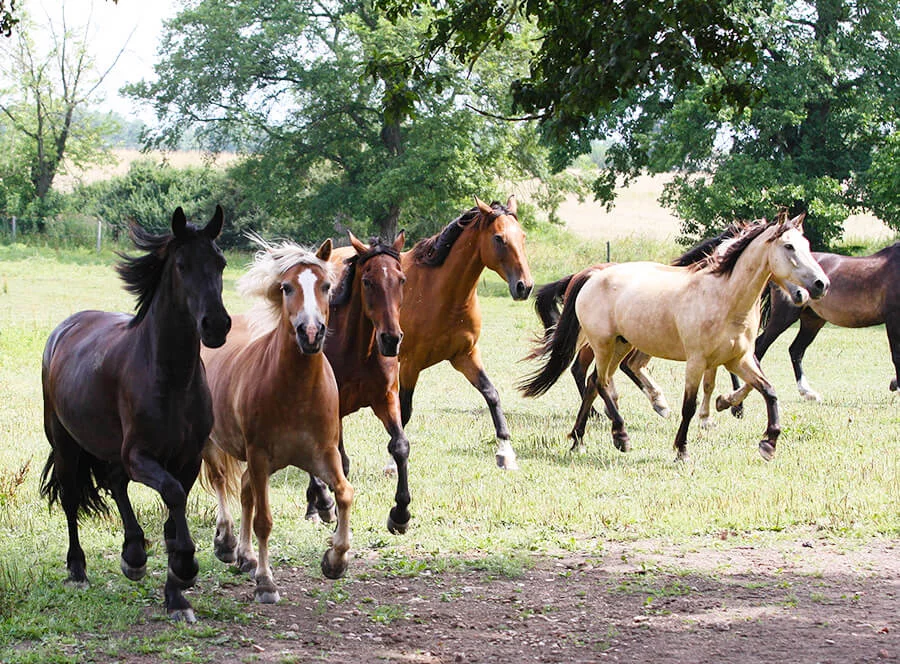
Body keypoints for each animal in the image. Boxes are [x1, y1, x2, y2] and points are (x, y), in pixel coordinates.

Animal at [41, 208, 232, 624]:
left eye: (221, 263)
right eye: (181, 264)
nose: (216, 325)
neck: (171, 378)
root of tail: (65, 328)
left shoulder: (188, 459)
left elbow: (173, 514)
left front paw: (176, 594)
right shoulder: (141, 456)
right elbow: (172, 495)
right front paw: (186, 568)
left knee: (115, 482)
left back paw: (134, 555)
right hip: (65, 443)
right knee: (72, 498)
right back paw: (78, 569)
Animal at [200, 240, 352, 608]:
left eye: (326, 286)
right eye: (286, 287)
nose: (310, 333)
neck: (296, 390)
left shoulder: (323, 455)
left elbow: (344, 494)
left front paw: (335, 559)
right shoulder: (258, 455)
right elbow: (264, 521)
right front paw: (266, 583)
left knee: (243, 490)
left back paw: (244, 555)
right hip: (214, 444)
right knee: (221, 480)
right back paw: (226, 543)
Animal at [306, 232, 412, 536]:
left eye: (401, 279)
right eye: (367, 281)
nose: (391, 339)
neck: (358, 351)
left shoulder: (386, 399)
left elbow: (400, 446)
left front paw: (400, 513)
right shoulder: (335, 408)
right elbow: (340, 461)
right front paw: (330, 508)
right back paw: (320, 504)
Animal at [396, 195, 532, 470]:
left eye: (522, 236)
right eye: (498, 238)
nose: (525, 286)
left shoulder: (465, 356)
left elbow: (492, 394)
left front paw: (506, 452)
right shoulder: (409, 364)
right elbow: (405, 410)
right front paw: (392, 466)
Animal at [520, 214, 828, 462]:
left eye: (807, 245)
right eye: (788, 247)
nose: (819, 285)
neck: (724, 298)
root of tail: (591, 276)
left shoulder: (738, 359)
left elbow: (768, 391)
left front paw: (768, 443)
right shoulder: (697, 361)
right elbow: (689, 406)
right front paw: (682, 449)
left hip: (621, 345)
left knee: (595, 382)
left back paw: (579, 439)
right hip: (603, 345)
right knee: (602, 382)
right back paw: (621, 435)